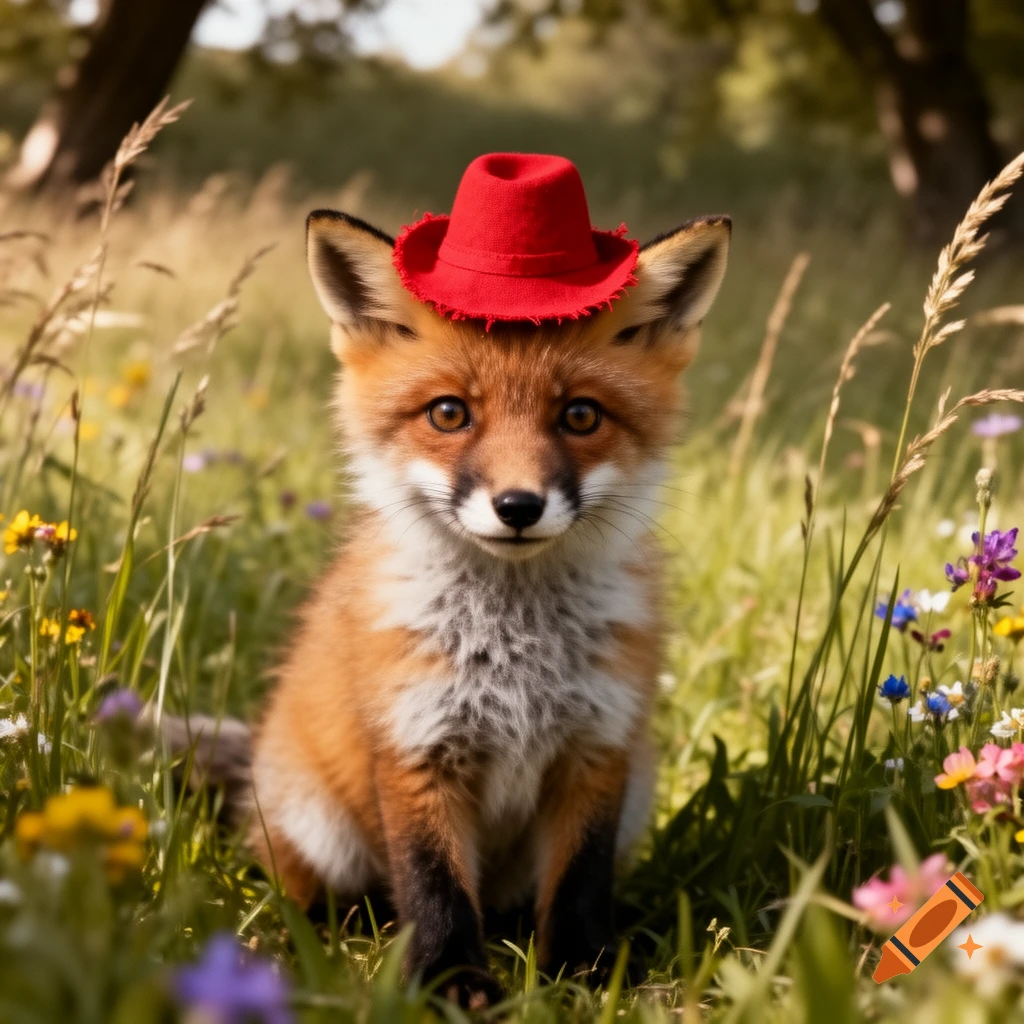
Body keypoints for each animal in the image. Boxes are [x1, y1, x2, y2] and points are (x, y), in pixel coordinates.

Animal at [173, 196, 730, 1008]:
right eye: (448, 414)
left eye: (581, 416)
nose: (518, 506)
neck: (516, 652)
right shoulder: (417, 747)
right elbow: (433, 886)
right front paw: (451, 986)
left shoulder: (596, 751)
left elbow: (579, 884)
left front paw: (585, 976)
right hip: (319, 829)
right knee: (325, 894)